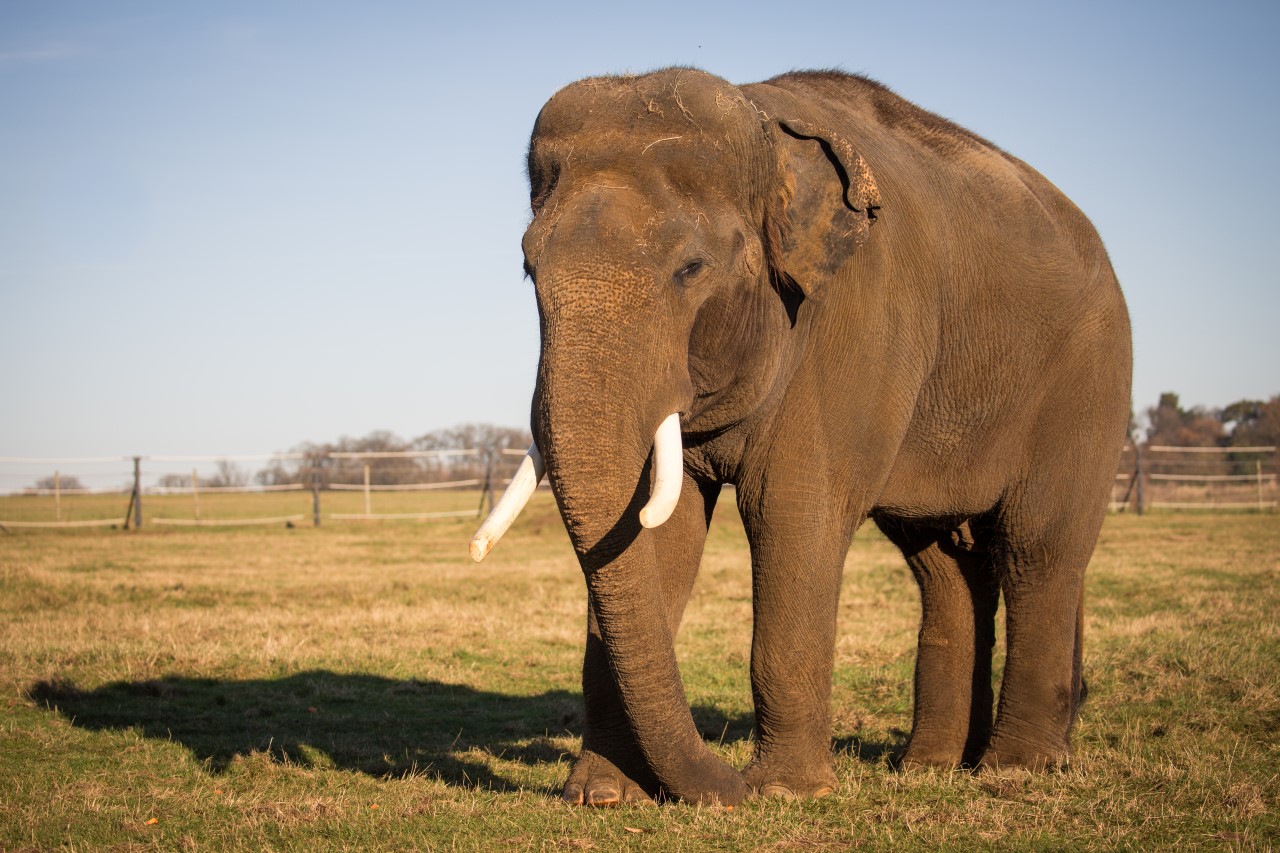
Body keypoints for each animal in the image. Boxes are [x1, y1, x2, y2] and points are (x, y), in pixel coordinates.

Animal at [471, 68, 1131, 804]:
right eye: (528, 268)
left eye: (690, 269)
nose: (726, 785)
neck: (769, 136)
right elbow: (658, 530)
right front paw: (601, 797)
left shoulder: (856, 315)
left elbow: (790, 512)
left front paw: (784, 792)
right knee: (943, 564)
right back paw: (928, 767)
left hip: (1089, 382)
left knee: (1037, 548)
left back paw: (1015, 769)